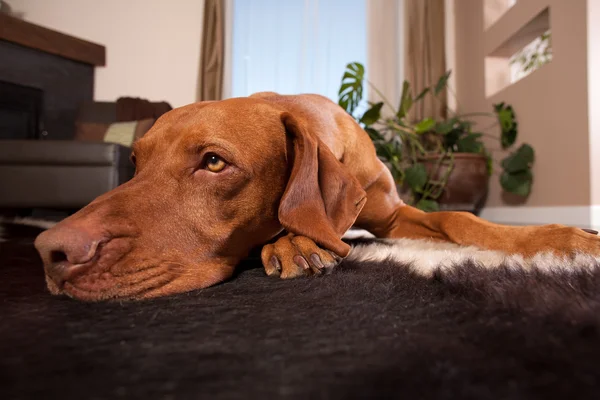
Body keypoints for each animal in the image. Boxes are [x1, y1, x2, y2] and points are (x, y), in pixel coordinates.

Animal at [34, 93, 600, 300]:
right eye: (135, 162)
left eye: (213, 162)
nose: (50, 251)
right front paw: (294, 242)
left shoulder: (393, 215)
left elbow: (459, 219)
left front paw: (570, 240)